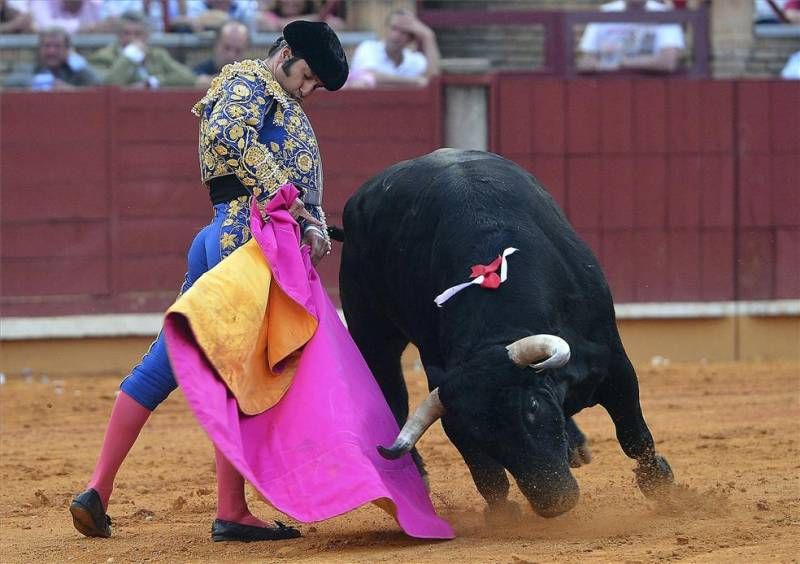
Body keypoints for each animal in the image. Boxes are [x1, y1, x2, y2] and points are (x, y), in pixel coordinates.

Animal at [338, 150, 676, 520]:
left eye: (532, 406)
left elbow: (633, 434)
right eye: (481, 437)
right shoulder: (451, 408)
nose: (554, 501)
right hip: (371, 336)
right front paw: (501, 515)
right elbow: (486, 474)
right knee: (391, 394)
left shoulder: (613, 364)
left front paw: (660, 485)